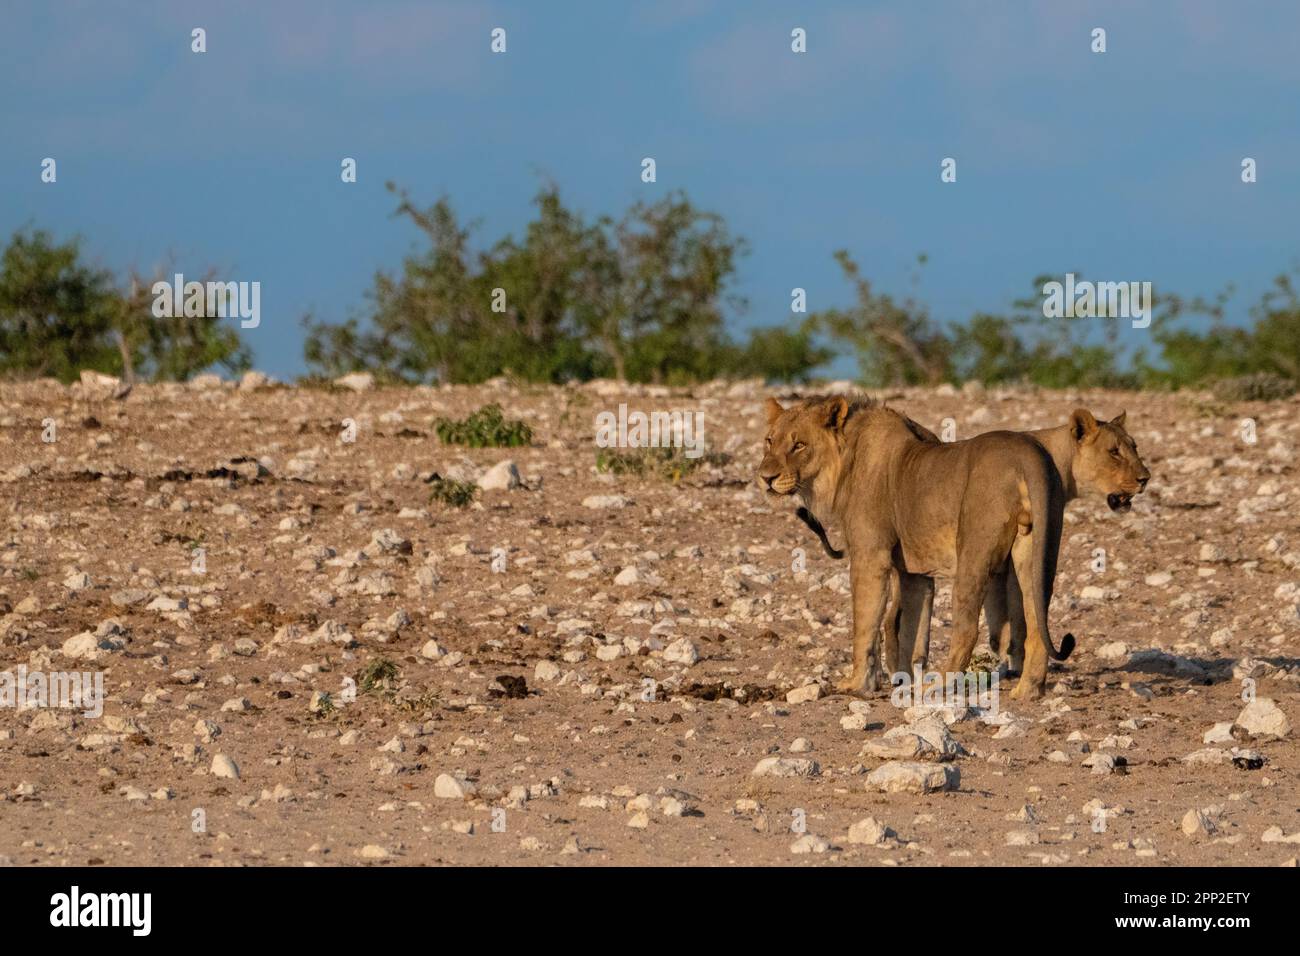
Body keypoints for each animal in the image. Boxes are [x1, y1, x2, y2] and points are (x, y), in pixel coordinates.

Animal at [759, 395, 1074, 701]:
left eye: (799, 445)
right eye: (770, 441)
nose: (765, 478)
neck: (843, 461)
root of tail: (1027, 453)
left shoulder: (870, 555)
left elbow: (865, 625)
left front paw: (856, 684)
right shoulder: (914, 573)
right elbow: (912, 631)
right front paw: (903, 682)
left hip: (974, 550)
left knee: (967, 629)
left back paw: (939, 686)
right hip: (1033, 549)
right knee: (1036, 621)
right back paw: (1027, 690)